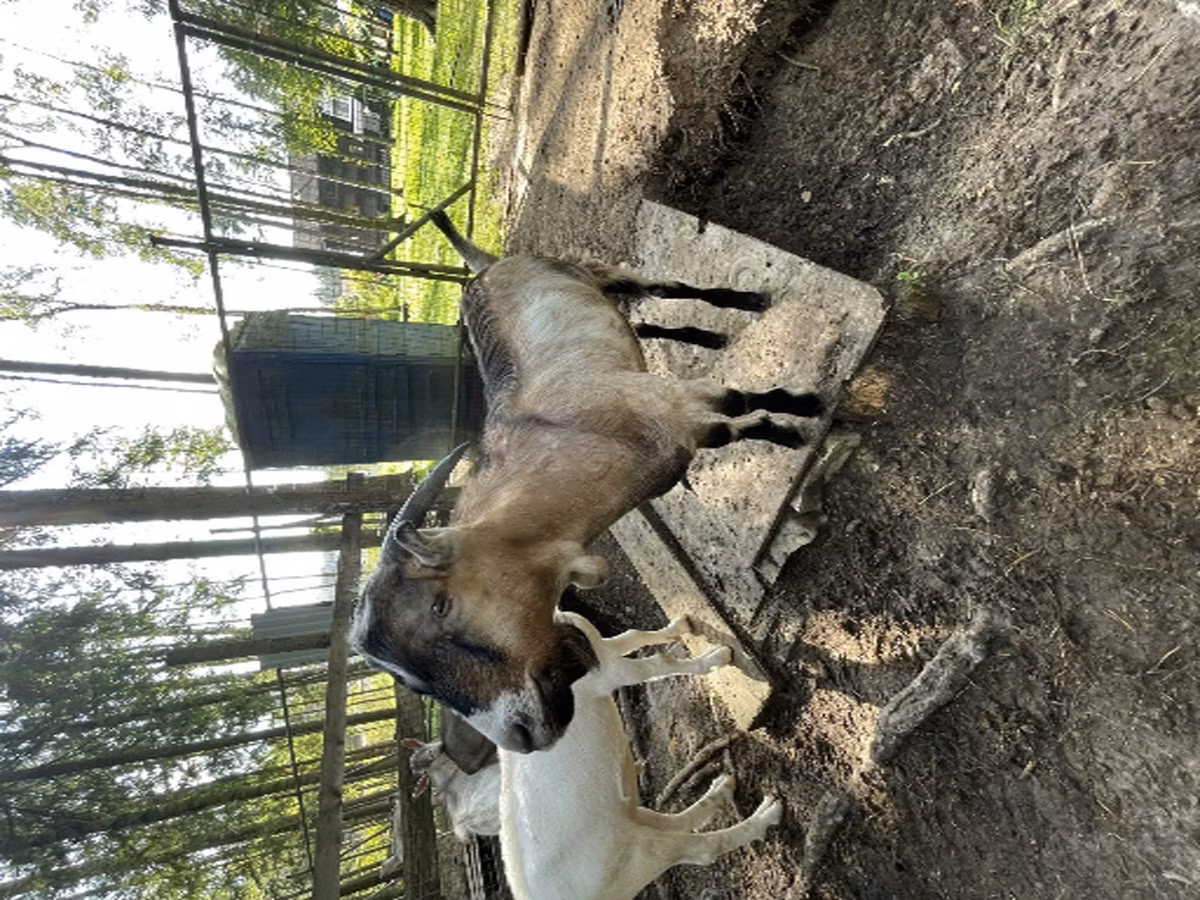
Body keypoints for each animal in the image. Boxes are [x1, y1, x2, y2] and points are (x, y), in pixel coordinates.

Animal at [351, 212, 824, 752]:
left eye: (441, 605)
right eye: (410, 680)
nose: (519, 736)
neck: (570, 437)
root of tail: (486, 266)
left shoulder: (671, 401)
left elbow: (736, 406)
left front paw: (801, 414)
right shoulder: (678, 422)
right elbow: (728, 427)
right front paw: (786, 427)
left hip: (587, 268)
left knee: (659, 286)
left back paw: (745, 303)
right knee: (641, 319)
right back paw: (708, 340)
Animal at [500, 611, 781, 900]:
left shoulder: (600, 650)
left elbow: (632, 636)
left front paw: (680, 627)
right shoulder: (608, 673)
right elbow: (657, 664)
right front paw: (718, 658)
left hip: (627, 825)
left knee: (670, 821)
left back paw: (721, 789)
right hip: (640, 854)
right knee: (699, 849)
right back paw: (765, 816)